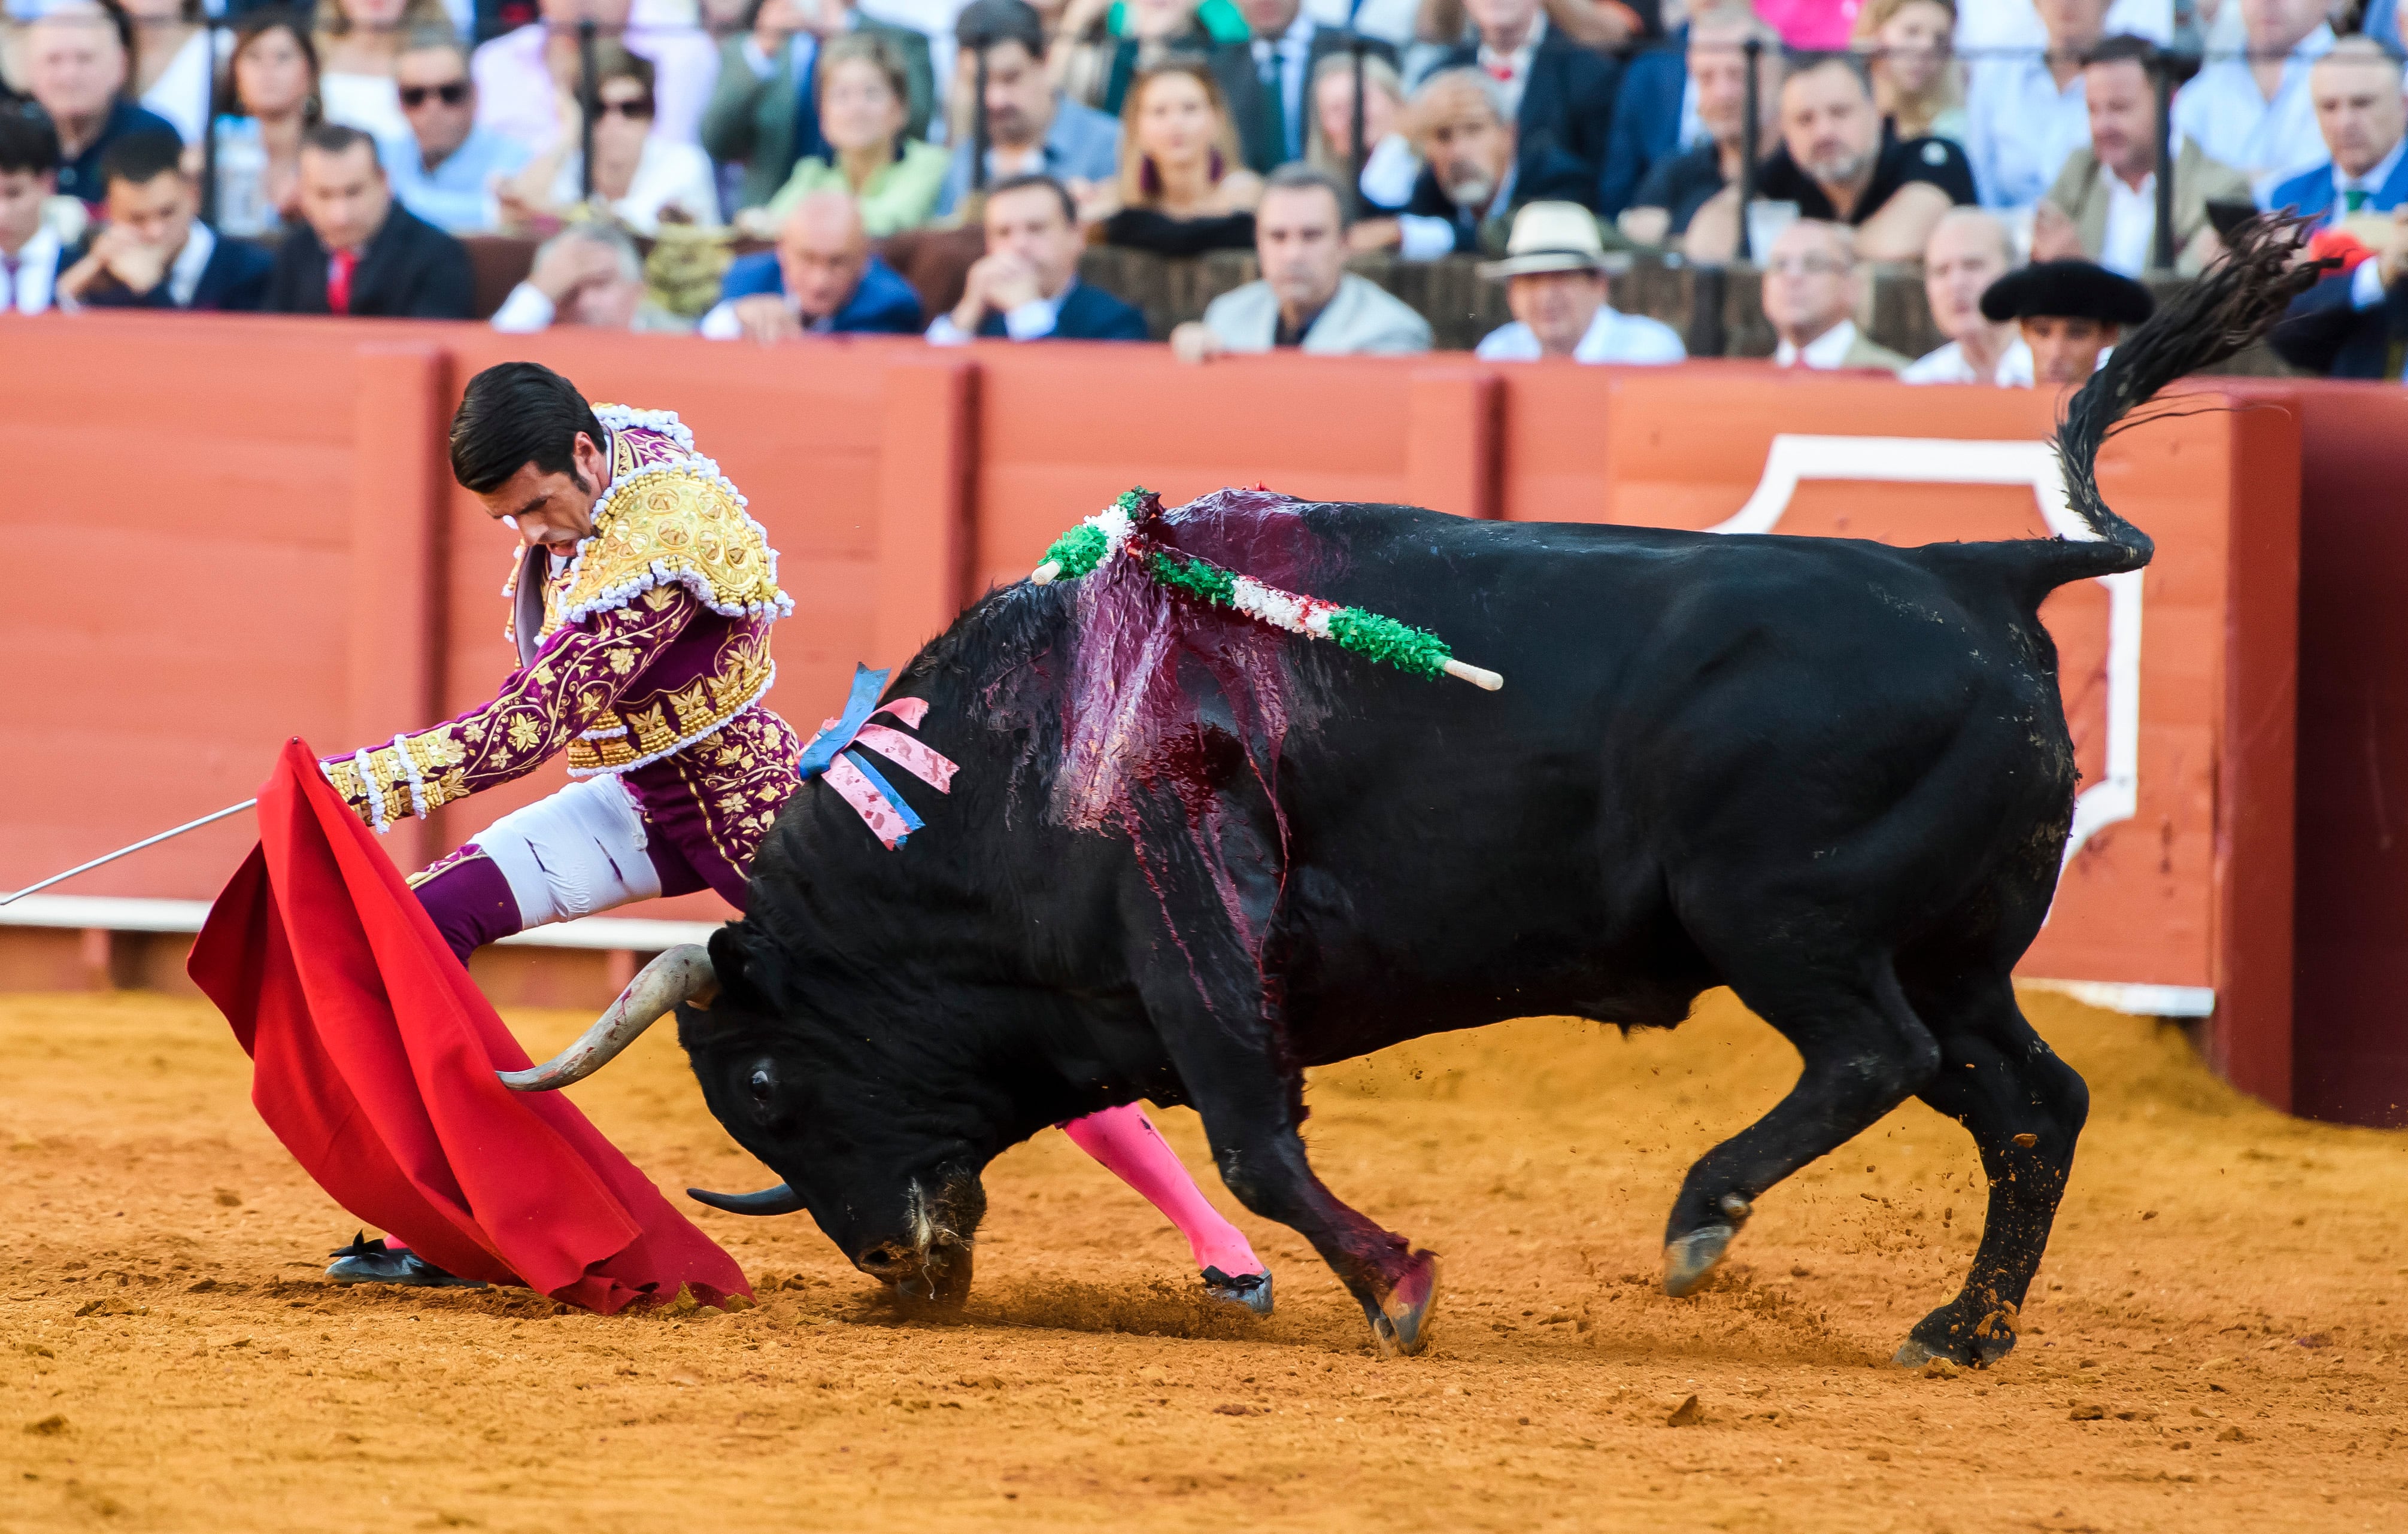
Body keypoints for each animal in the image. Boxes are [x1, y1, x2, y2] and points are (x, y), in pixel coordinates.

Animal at [532, 233, 2312, 1358]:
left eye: (768, 1087)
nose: (898, 1266)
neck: (991, 771)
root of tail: (1979, 567)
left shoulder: (1189, 920)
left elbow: (1254, 1139)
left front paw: (1396, 1290)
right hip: (1958, 948)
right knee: (2029, 1101)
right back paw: (1958, 1331)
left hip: (1784, 918)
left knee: (1876, 1054)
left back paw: (1700, 1220)